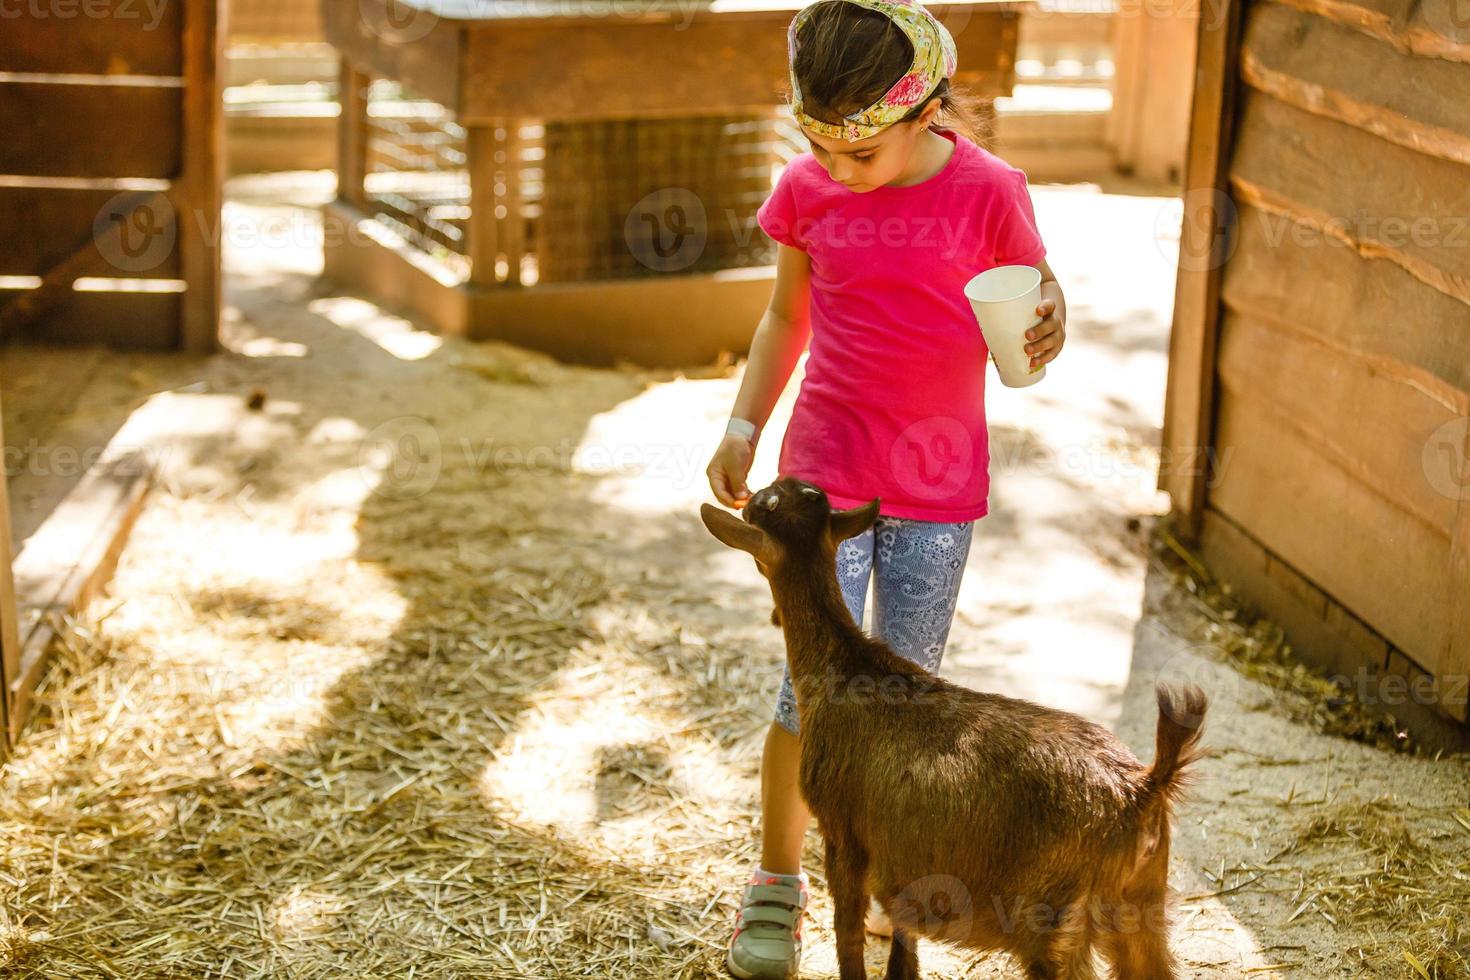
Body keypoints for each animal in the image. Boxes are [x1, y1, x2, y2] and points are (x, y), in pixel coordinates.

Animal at [699, 473, 1205, 975]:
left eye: (762, 505)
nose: (753, 492)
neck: (845, 668)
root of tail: (1143, 788)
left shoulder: (843, 833)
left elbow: (849, 933)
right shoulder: (900, 864)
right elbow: (904, 934)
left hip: (1052, 923)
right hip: (1142, 906)